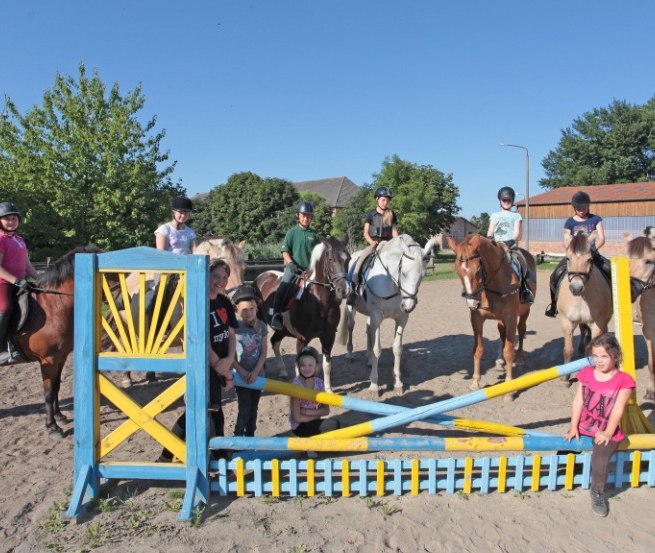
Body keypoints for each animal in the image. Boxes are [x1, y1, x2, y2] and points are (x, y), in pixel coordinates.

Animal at [3, 245, 104, 436]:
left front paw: (59, 416)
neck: (52, 307)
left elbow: (56, 386)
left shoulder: (60, 356)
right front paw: (52, 426)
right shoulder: (48, 360)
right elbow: (49, 392)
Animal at [254, 235, 352, 390]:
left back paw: (282, 371)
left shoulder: (328, 336)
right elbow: (300, 365)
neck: (320, 302)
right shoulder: (302, 339)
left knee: (274, 342)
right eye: (331, 259)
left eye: (348, 258)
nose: (343, 290)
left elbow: (327, 365)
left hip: (282, 330)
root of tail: (262, 276)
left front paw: (328, 390)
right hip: (260, 321)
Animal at [338, 233, 436, 392]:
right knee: (351, 326)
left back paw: (369, 359)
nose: (409, 306)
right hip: (352, 309)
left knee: (368, 330)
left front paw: (398, 383)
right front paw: (374, 384)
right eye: (404, 273)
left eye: (422, 275)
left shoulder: (402, 318)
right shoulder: (377, 316)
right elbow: (377, 349)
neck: (391, 282)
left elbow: (397, 349)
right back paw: (350, 354)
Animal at [448, 234, 536, 396]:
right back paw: (500, 361)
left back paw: (521, 359)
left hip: (525, 311)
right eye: (457, 271)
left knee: (521, 331)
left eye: (477, 270)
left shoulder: (511, 317)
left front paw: (509, 389)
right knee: (502, 334)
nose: (472, 303)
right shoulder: (476, 318)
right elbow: (478, 350)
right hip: (500, 319)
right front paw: (475, 382)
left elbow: (509, 351)